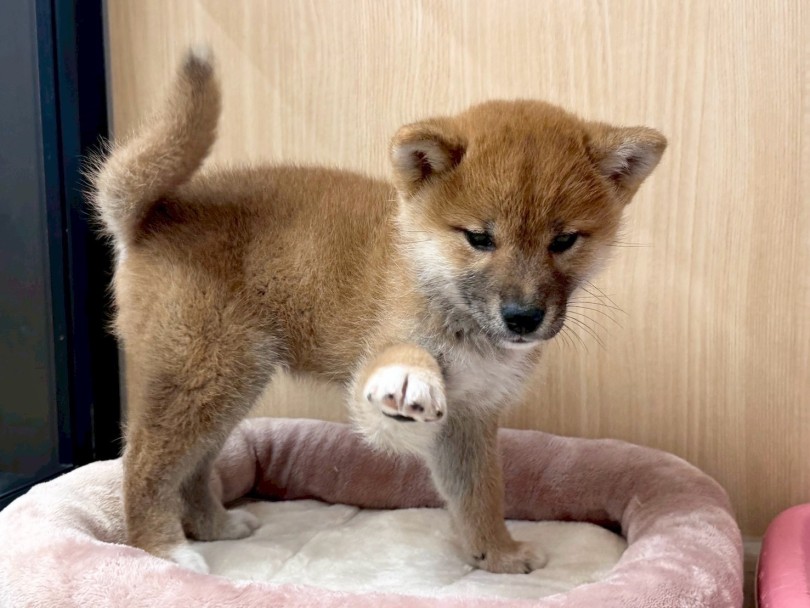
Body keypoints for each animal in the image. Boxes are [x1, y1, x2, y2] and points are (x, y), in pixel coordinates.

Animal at [91, 48, 666, 575]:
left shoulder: (471, 419)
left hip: (226, 387)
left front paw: (496, 553)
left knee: (192, 467)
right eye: (479, 238)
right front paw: (409, 380)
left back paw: (214, 524)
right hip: (204, 374)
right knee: (143, 464)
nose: (522, 317)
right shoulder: (384, 365)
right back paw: (162, 550)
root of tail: (158, 213)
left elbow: (481, 494)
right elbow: (398, 376)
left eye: (564, 241)